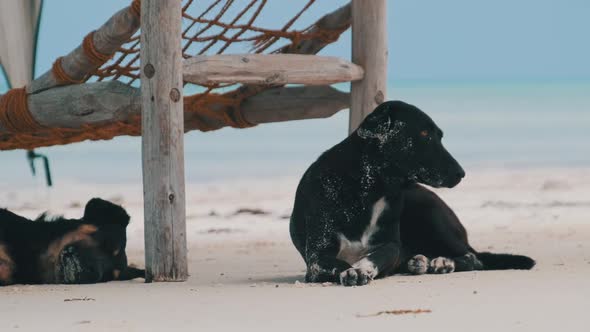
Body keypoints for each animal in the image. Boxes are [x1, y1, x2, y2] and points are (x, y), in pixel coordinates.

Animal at [292, 100, 536, 286]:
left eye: (439, 135)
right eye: (424, 134)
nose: (461, 173)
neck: (369, 190)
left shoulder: (390, 245)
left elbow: (376, 256)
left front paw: (361, 269)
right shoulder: (316, 257)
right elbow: (336, 263)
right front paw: (351, 270)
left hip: (431, 215)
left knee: (473, 257)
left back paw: (442, 262)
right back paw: (421, 261)